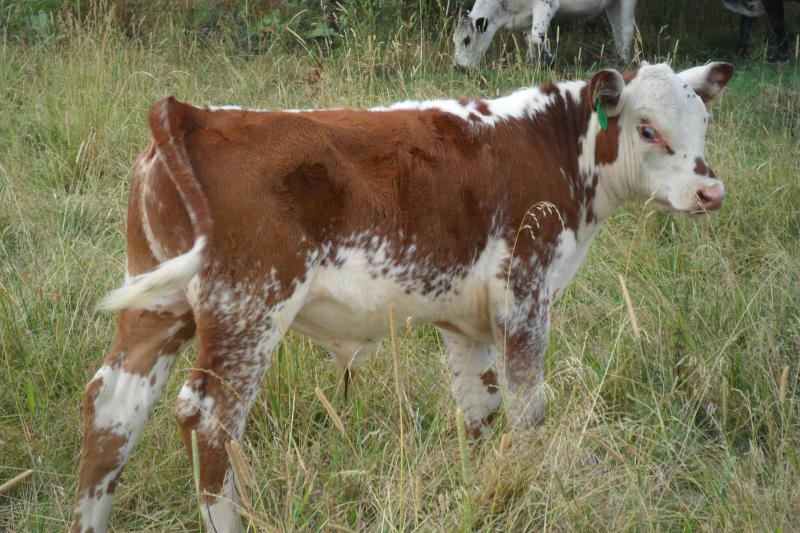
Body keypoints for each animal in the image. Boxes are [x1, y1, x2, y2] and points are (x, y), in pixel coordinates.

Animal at [71, 60, 733, 532]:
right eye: (647, 129)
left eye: (703, 124)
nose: (710, 193)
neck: (554, 144)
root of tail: (193, 113)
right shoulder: (526, 291)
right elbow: (528, 409)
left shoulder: (465, 321)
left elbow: (479, 408)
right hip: (250, 308)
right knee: (210, 421)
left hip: (156, 306)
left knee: (113, 408)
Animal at [453, 0, 638, 67]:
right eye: (454, 40)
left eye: (467, 40)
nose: (458, 67)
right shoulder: (526, 17)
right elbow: (530, 38)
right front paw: (533, 64)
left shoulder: (545, 4)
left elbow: (537, 36)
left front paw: (551, 60)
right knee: (617, 29)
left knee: (627, 29)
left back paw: (625, 63)